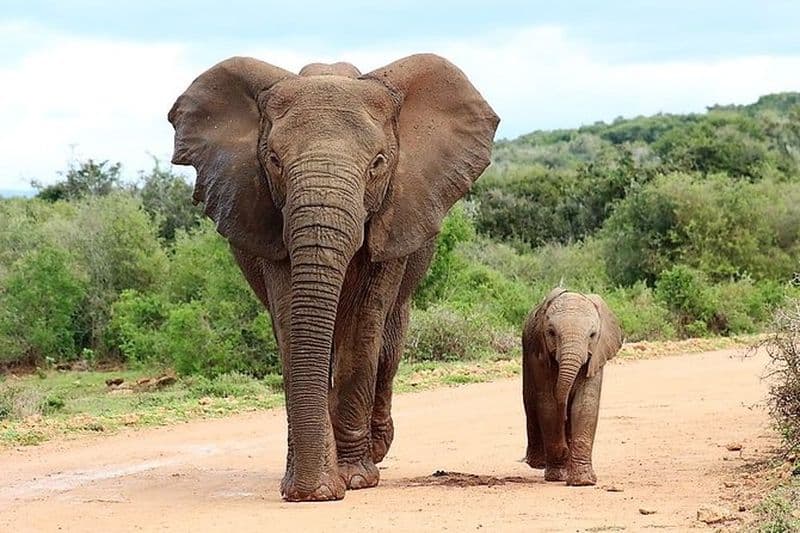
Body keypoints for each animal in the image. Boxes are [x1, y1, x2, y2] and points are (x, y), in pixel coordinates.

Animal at [168, 54, 499, 501]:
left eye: (378, 163)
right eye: (274, 160)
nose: (311, 493)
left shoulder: (393, 216)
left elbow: (363, 329)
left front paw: (354, 479)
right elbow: (292, 325)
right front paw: (312, 486)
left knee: (388, 349)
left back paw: (377, 448)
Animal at [521, 288, 623, 486]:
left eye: (592, 335)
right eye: (551, 332)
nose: (564, 449)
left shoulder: (596, 356)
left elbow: (585, 404)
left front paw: (583, 482)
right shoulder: (539, 356)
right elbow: (549, 405)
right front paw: (557, 476)